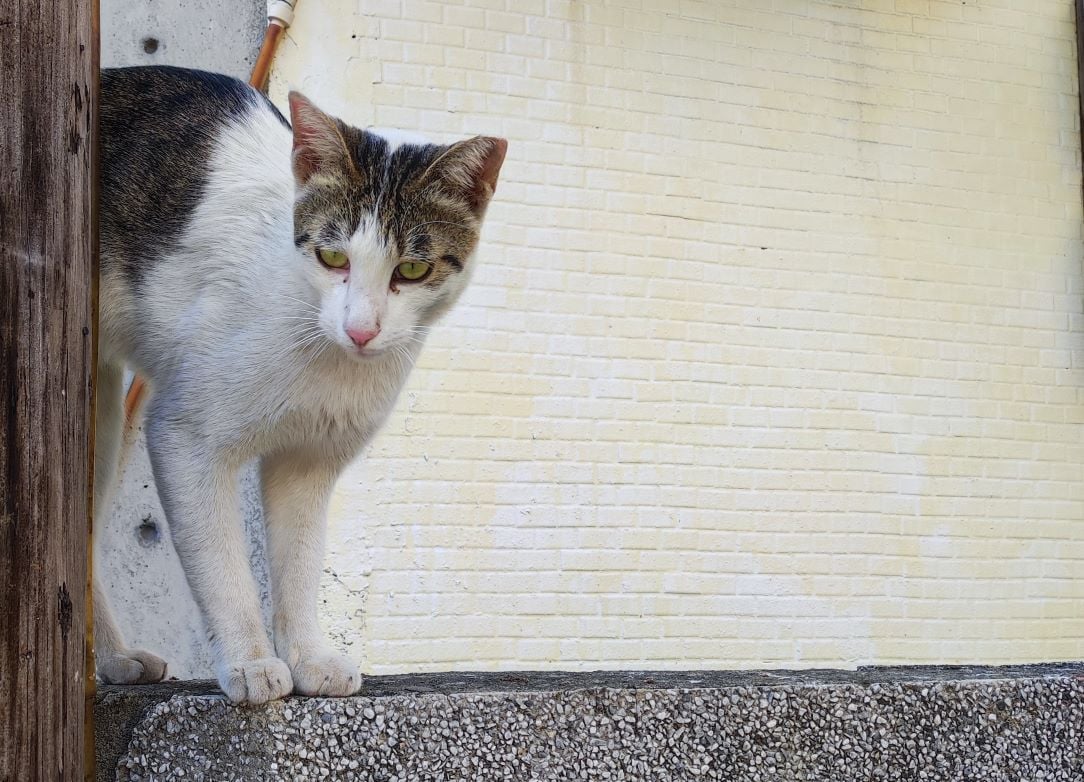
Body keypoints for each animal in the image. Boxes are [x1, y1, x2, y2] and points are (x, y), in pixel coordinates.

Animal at [95, 66, 506, 704]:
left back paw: (114, 659)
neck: (326, 351)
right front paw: (250, 662)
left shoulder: (308, 462)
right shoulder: (183, 438)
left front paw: (309, 657)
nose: (361, 329)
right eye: (332, 256)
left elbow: (301, 561)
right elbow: (224, 567)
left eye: (412, 269)